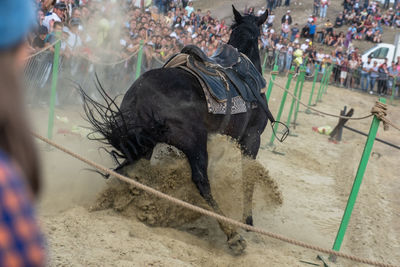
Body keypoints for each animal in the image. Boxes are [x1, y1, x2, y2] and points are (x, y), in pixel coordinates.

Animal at [80, 5, 282, 254]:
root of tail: (141, 97)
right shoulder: (251, 138)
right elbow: (249, 177)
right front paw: (248, 221)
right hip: (194, 143)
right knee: (202, 181)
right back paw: (232, 234)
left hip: (144, 145)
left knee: (125, 169)